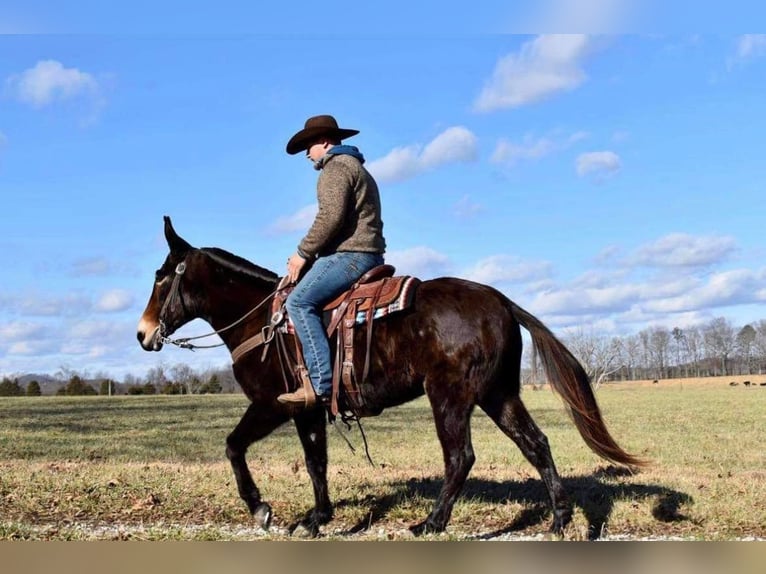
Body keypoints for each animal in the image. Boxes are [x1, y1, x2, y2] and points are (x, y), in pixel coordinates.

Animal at [136, 218, 640, 536]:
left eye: (162, 277)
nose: (143, 334)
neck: (264, 322)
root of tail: (500, 300)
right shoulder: (307, 411)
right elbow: (317, 463)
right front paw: (317, 518)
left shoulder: (272, 405)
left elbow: (234, 446)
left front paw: (261, 508)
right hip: (498, 394)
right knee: (535, 444)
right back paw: (559, 518)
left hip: (450, 396)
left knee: (460, 457)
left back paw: (432, 523)